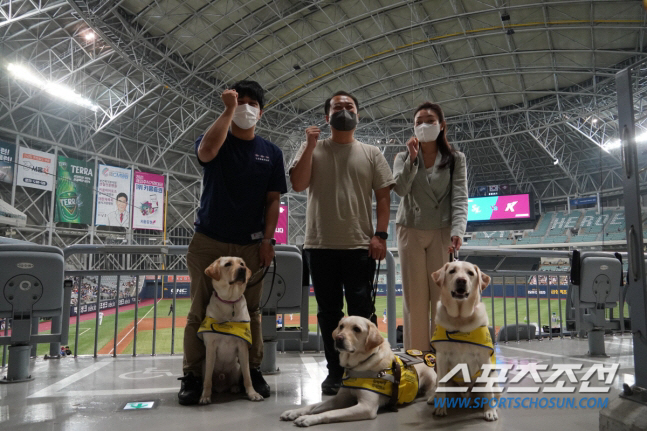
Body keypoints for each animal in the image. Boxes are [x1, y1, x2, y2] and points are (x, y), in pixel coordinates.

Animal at [200, 256, 266, 404]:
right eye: (227, 264)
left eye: (242, 264)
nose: (242, 270)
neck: (229, 302)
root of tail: (222, 383)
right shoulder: (211, 346)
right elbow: (207, 379)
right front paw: (205, 396)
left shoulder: (242, 346)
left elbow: (248, 376)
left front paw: (252, 394)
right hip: (205, 364)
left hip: (237, 367)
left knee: (236, 381)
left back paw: (235, 388)